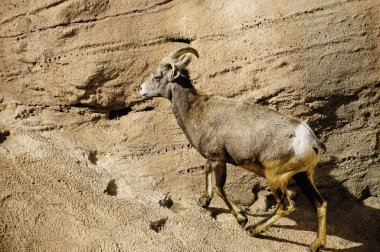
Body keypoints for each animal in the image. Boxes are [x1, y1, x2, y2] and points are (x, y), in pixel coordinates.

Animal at [139, 47, 326, 252]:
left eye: (157, 76)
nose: (141, 89)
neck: (194, 110)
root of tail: (311, 141)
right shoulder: (211, 158)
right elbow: (206, 171)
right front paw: (204, 201)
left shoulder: (219, 159)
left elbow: (220, 188)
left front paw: (241, 219)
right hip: (302, 175)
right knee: (320, 204)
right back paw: (316, 245)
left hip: (275, 177)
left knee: (285, 206)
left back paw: (253, 229)